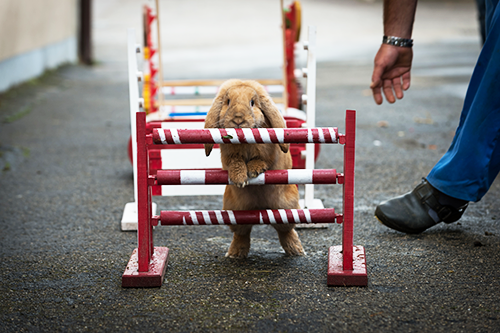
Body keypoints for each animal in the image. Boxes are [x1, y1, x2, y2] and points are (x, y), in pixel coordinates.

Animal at [203, 79, 304, 258]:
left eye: (252, 102)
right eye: (227, 101)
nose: (238, 120)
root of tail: (260, 208)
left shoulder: (267, 154)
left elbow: (261, 160)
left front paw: (253, 171)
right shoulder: (230, 156)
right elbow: (235, 163)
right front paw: (239, 179)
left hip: (287, 209)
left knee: (285, 231)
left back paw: (296, 251)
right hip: (234, 212)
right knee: (242, 233)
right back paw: (235, 254)